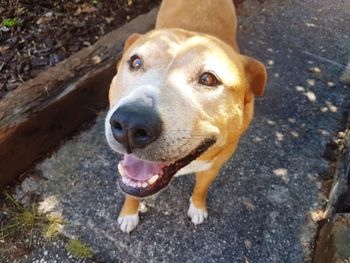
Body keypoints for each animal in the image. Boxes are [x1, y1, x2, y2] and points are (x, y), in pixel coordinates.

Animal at [105, 0, 266, 235]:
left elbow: (200, 189)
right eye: (135, 62)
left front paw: (197, 208)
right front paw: (129, 212)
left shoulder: (212, 168)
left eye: (208, 79)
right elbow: (129, 189)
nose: (130, 125)